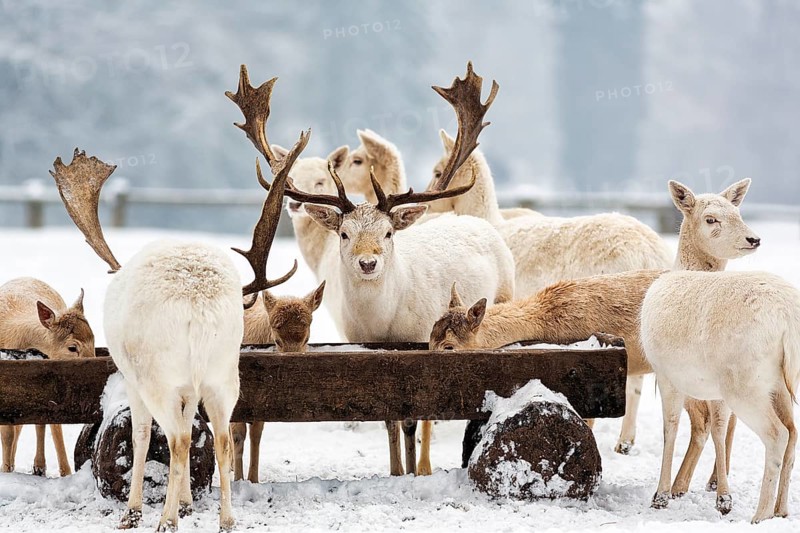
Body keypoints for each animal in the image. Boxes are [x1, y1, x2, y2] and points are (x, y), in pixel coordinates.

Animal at [0, 278, 95, 478]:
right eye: (72, 347)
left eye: (94, 340)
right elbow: (7, 433)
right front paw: (6, 470)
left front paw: (61, 471)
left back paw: (42, 467)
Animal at [48, 65, 307, 532]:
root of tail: (199, 307)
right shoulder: (191, 386)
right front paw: (187, 502)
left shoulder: (137, 380)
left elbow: (140, 437)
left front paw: (137, 510)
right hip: (225, 370)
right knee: (221, 438)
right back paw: (226, 519)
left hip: (158, 372)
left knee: (179, 438)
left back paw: (163, 519)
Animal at [231, 280, 325, 483]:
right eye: (277, 340)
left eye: (307, 339)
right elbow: (237, 435)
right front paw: (238, 480)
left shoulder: (262, 401)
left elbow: (256, 435)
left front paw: (253, 479)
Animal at [255, 63, 515, 478]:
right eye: (344, 233)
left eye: (388, 232)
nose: (368, 262)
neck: (383, 322)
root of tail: (476, 220)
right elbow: (388, 417)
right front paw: (395, 469)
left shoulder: (423, 341)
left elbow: (415, 415)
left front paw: (414, 470)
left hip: (508, 290)